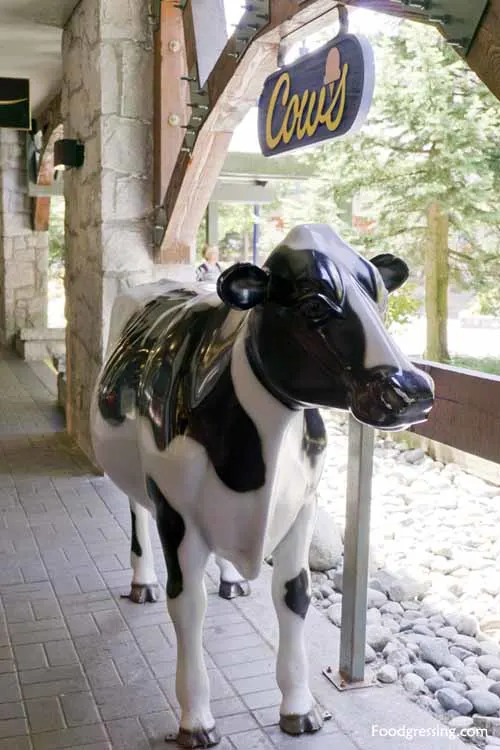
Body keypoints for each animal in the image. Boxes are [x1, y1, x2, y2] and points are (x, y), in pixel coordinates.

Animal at [90, 224, 434, 748]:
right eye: (314, 305)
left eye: (381, 298)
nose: (412, 390)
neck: (254, 467)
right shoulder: (176, 514)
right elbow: (188, 603)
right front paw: (196, 721)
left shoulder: (302, 508)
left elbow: (294, 596)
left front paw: (299, 709)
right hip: (134, 474)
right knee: (136, 512)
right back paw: (143, 580)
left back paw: (233, 579)